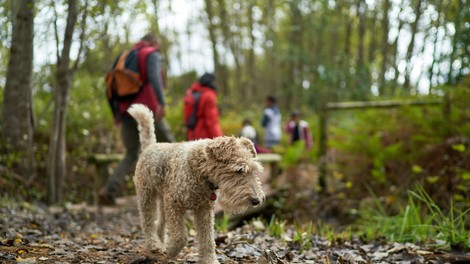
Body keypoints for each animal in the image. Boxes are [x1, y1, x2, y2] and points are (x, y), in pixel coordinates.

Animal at [129, 104, 266, 262]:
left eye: (254, 170)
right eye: (239, 170)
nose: (257, 200)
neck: (200, 170)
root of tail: (149, 147)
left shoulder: (203, 210)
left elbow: (208, 240)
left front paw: (210, 261)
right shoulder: (174, 204)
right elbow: (180, 236)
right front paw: (172, 250)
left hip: (163, 200)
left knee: (159, 224)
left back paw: (160, 243)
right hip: (146, 196)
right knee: (148, 222)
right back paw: (154, 244)